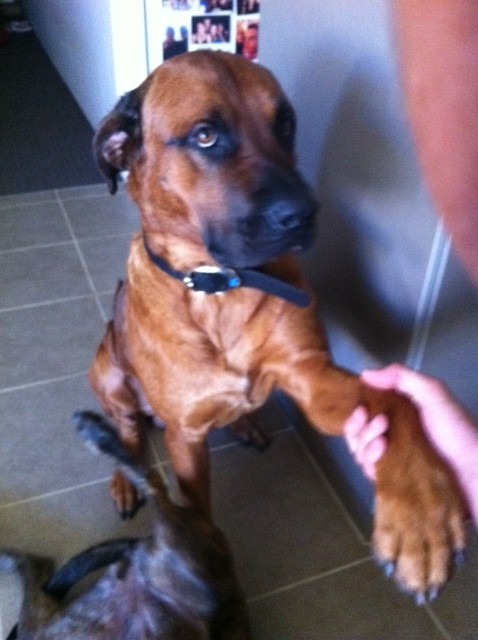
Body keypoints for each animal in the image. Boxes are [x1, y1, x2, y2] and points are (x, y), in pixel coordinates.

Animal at [89, 50, 466, 602]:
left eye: (285, 124)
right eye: (205, 135)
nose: (305, 215)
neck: (221, 285)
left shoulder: (309, 376)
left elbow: (394, 401)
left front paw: (423, 516)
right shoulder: (186, 435)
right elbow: (194, 503)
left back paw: (245, 421)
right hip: (106, 370)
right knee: (126, 428)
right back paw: (122, 475)